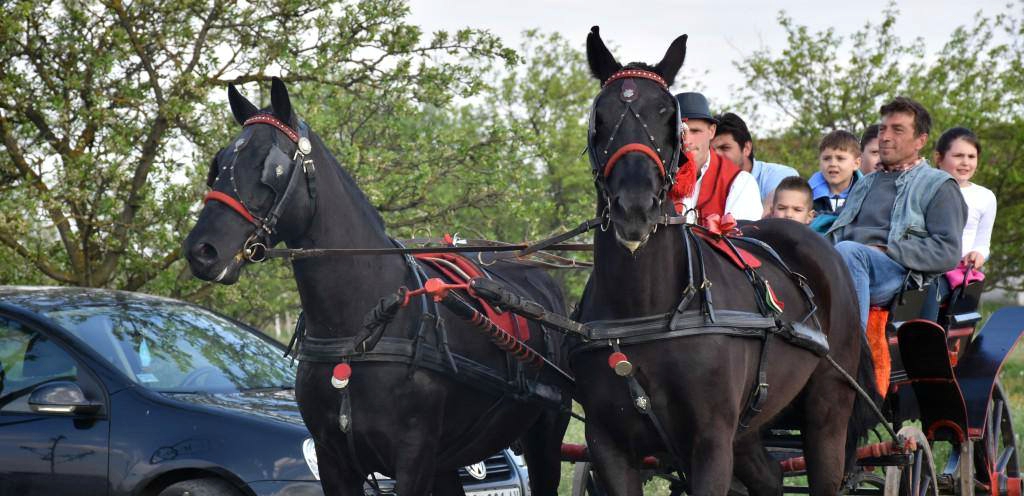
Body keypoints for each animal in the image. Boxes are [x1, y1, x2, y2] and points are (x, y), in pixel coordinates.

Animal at [183, 78, 572, 495]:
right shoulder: (333, 459)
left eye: (271, 166)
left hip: (545, 433)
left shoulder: (413, 457)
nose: (201, 250)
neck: (355, 331)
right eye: (219, 164)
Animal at [571, 27, 879, 495]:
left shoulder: (712, 442)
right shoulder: (609, 445)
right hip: (750, 430)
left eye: (668, 116)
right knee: (769, 478)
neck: (648, 312)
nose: (635, 208)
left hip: (827, 410)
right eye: (599, 117)